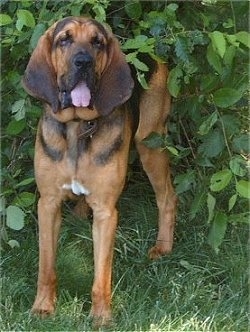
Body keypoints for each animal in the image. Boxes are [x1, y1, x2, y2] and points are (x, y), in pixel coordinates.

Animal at [22, 16, 177, 326]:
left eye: (97, 42)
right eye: (65, 40)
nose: (83, 62)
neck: (78, 126)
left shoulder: (106, 212)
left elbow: (101, 277)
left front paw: (101, 317)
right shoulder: (48, 204)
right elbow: (46, 267)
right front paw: (43, 307)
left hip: (150, 144)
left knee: (167, 198)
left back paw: (162, 247)